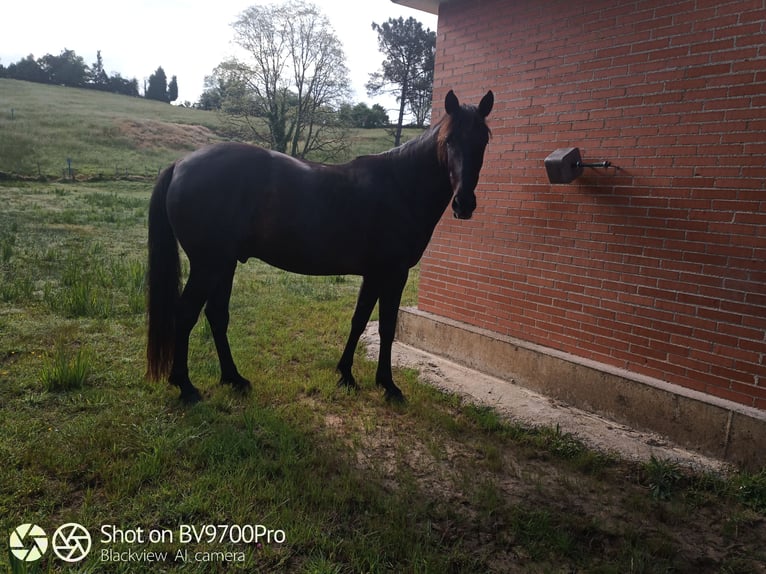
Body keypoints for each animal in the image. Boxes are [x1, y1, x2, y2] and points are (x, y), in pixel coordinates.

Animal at [148, 91, 498, 404]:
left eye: (483, 141)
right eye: (449, 141)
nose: (464, 204)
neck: (400, 186)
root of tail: (180, 165)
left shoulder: (374, 274)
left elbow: (359, 320)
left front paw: (346, 374)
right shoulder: (394, 273)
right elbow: (387, 327)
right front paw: (388, 385)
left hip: (225, 264)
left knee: (217, 315)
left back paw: (234, 379)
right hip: (208, 265)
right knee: (186, 314)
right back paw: (186, 386)